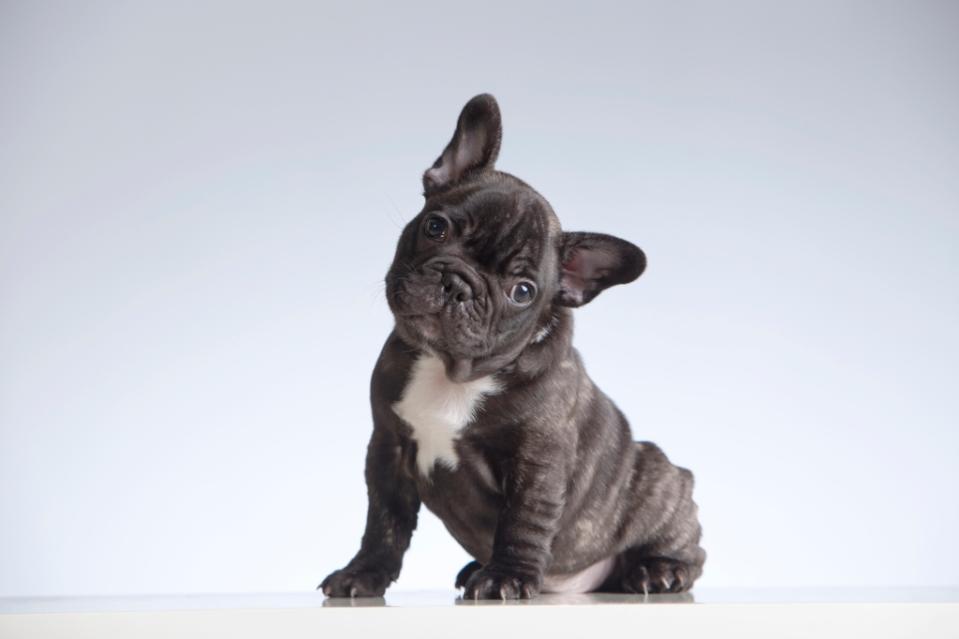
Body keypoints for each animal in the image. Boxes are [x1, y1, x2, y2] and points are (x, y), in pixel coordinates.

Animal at [322, 94, 704, 600]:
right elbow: (383, 522)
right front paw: (363, 573)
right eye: (435, 226)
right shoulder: (388, 447)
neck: (451, 371)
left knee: (687, 546)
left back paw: (658, 571)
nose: (457, 283)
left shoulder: (537, 462)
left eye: (522, 291)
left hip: (658, 478)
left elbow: (524, 521)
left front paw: (507, 577)